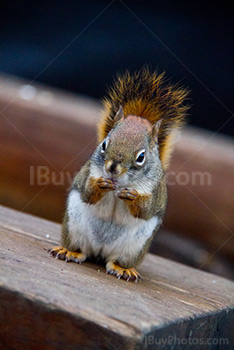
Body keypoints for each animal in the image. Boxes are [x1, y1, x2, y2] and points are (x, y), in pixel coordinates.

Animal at [49, 67, 188, 284]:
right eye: (104, 144)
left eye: (141, 157)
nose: (112, 167)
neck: (119, 181)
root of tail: (100, 251)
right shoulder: (88, 173)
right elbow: (87, 192)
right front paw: (100, 184)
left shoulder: (155, 191)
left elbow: (145, 209)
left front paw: (132, 196)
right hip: (73, 228)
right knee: (81, 249)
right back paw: (70, 252)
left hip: (133, 248)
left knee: (114, 260)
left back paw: (122, 269)